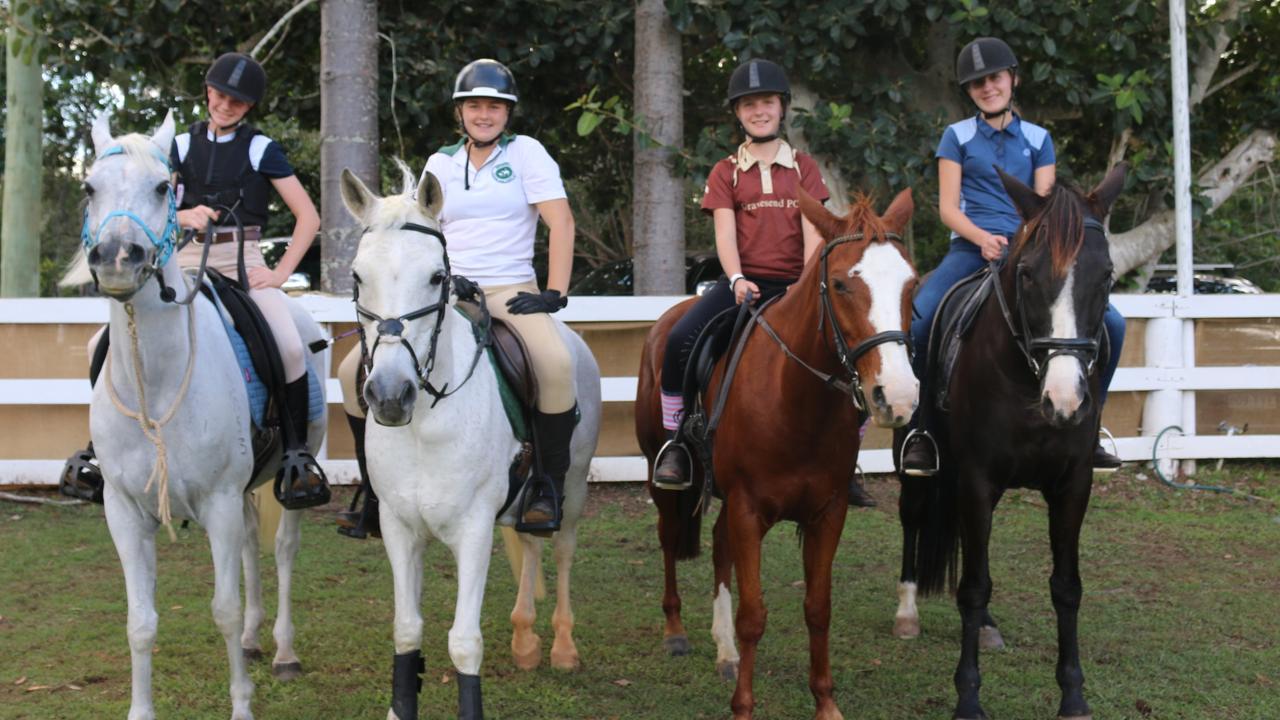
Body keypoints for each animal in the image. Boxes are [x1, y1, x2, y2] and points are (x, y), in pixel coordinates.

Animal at [72, 112, 327, 717]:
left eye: (162, 188)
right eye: (89, 188)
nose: (117, 259)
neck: (156, 387)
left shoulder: (217, 502)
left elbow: (223, 611)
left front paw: (241, 705)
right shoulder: (124, 511)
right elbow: (140, 622)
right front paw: (141, 710)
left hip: (292, 467)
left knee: (282, 551)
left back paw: (282, 651)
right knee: (254, 545)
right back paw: (257, 640)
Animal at [337, 162, 601, 717]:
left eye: (437, 277)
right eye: (358, 277)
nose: (390, 395)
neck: (424, 424)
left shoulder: (474, 529)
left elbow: (464, 641)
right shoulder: (398, 528)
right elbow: (406, 630)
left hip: (571, 486)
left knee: (562, 548)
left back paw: (563, 647)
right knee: (531, 541)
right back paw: (525, 641)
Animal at [637, 188, 921, 712]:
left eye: (912, 283)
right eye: (840, 285)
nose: (897, 396)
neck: (795, 401)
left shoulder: (827, 513)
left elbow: (818, 608)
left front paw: (826, 704)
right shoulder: (749, 509)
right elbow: (754, 614)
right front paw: (743, 708)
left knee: (718, 547)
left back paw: (725, 650)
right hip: (662, 476)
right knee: (669, 537)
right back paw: (675, 630)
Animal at [901, 163, 1131, 717]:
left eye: (1107, 277)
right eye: (1027, 274)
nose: (1065, 401)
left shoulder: (1073, 484)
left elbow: (1066, 588)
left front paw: (1073, 696)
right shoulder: (976, 480)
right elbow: (973, 586)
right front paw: (968, 699)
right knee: (914, 516)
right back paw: (907, 613)